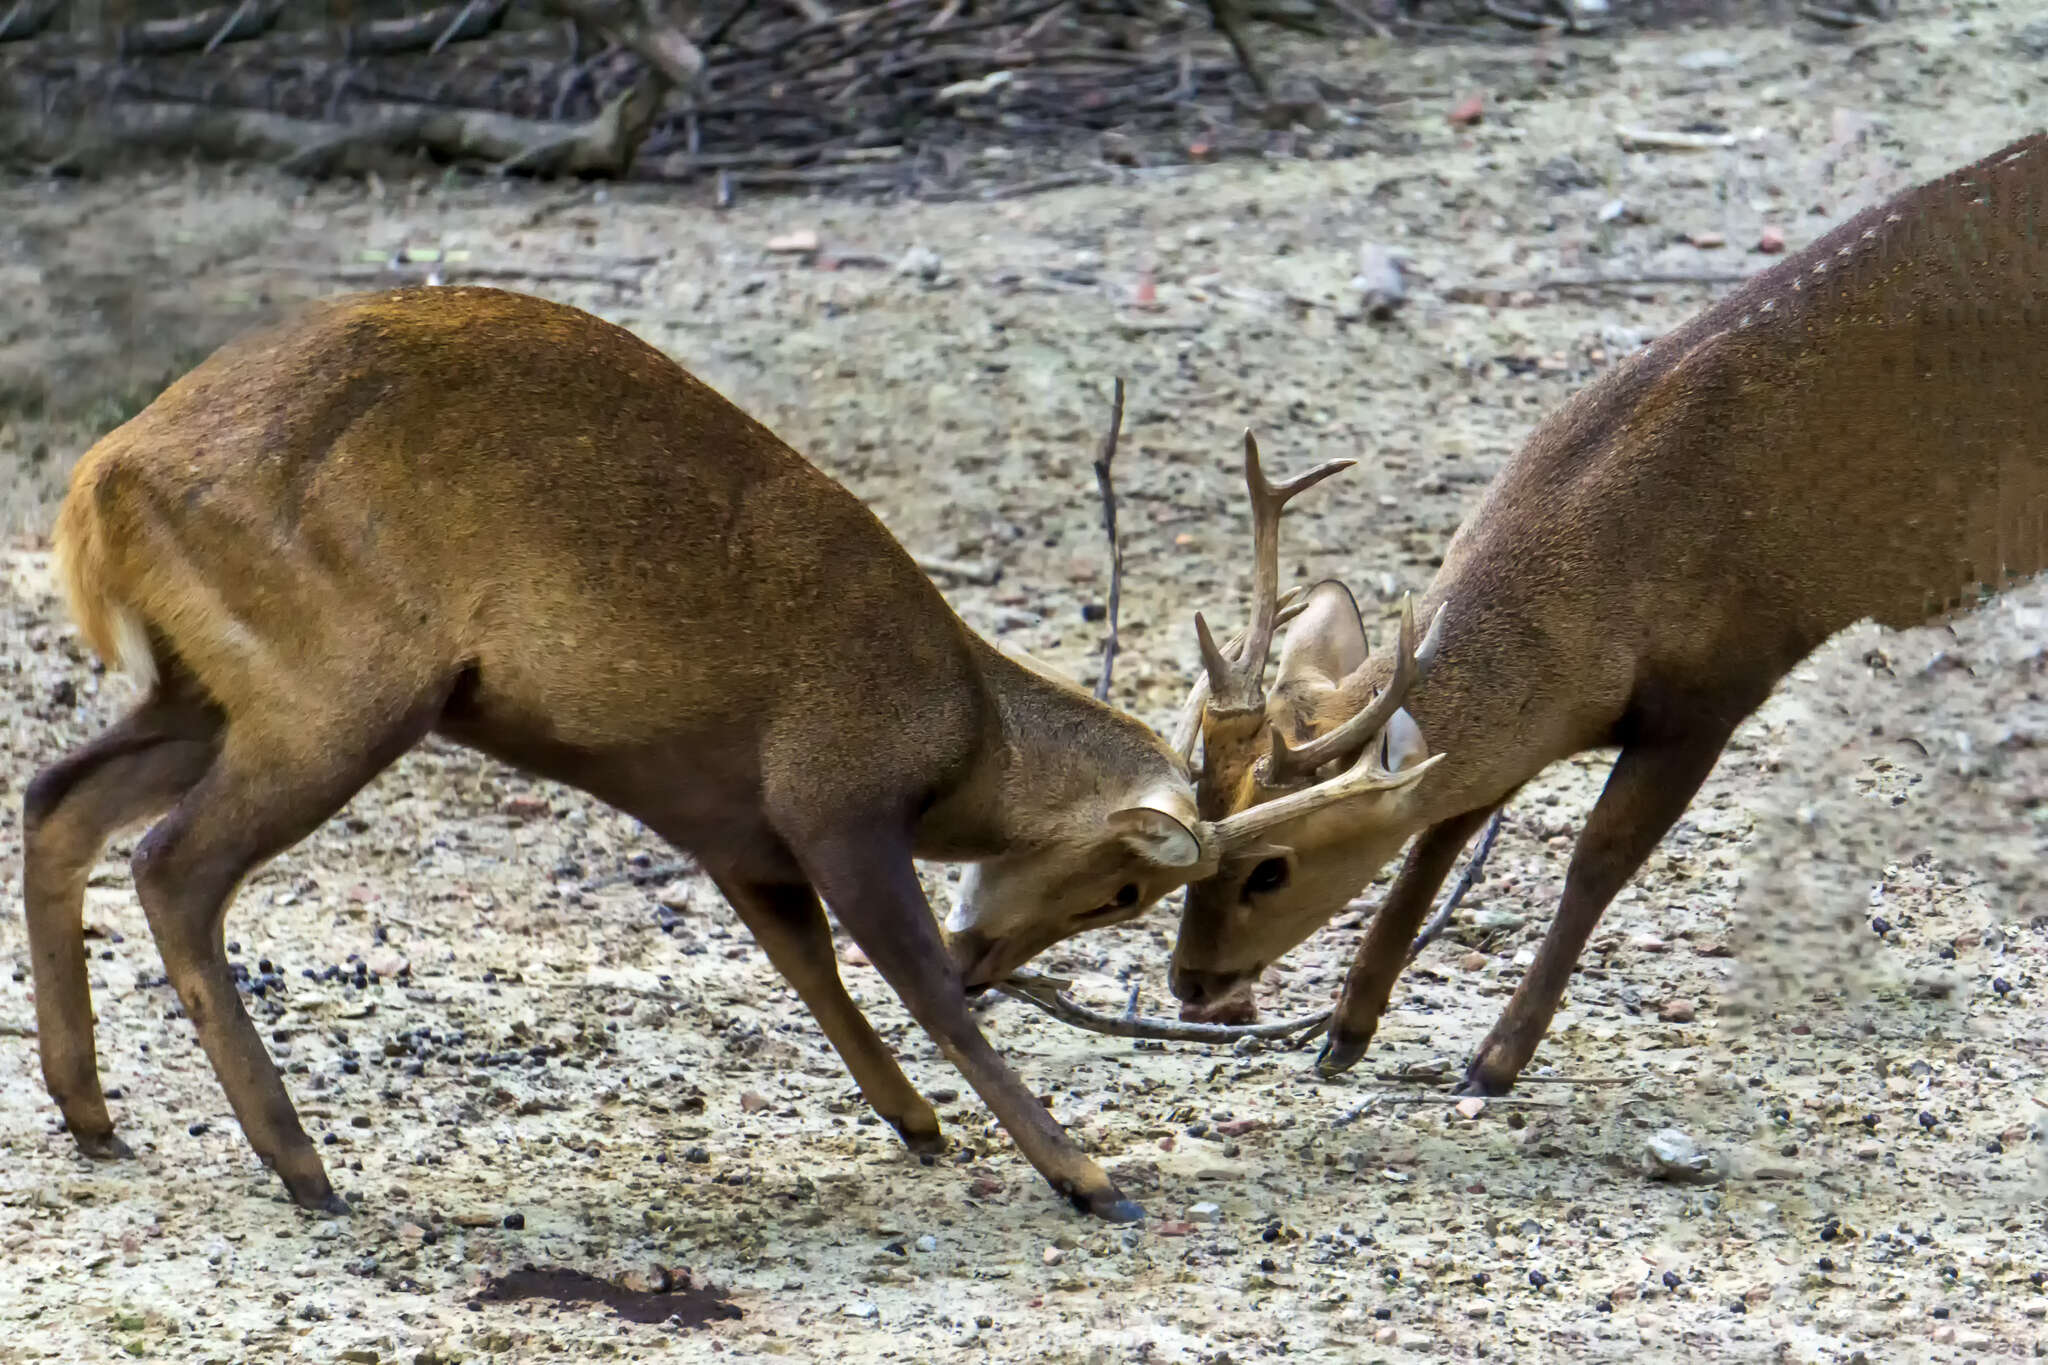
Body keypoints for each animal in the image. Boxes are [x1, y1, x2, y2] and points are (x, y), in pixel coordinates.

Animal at [24, 282, 1228, 1219]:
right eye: (1127, 888)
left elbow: (813, 968)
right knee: (173, 863)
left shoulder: (734, 831)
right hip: (335, 688)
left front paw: (919, 1122)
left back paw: (91, 1114)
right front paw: (1085, 1174)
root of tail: (97, 483)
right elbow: (918, 981)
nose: (993, 958)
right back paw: (303, 1166)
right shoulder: (834, 791)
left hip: (219, 686)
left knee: (59, 794)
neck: (964, 737)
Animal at [1171, 130, 2048, 1096]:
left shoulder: (1719, 678)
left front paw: (1495, 1059)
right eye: (1200, 829)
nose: (1188, 981)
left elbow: (1598, 856)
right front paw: (1344, 1031)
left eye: (1270, 870)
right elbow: (1442, 829)